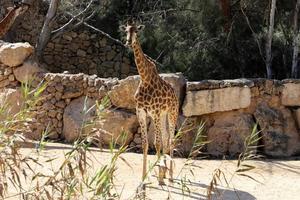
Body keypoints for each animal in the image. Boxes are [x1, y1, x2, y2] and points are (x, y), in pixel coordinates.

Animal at [119, 22, 179, 188]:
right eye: (126, 31)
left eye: (137, 31)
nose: (128, 42)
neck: (145, 79)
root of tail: (175, 93)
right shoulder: (141, 112)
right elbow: (146, 144)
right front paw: (144, 179)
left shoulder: (155, 112)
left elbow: (157, 144)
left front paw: (159, 178)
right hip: (163, 115)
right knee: (165, 139)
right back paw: (163, 172)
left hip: (172, 113)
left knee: (171, 140)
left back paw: (170, 177)